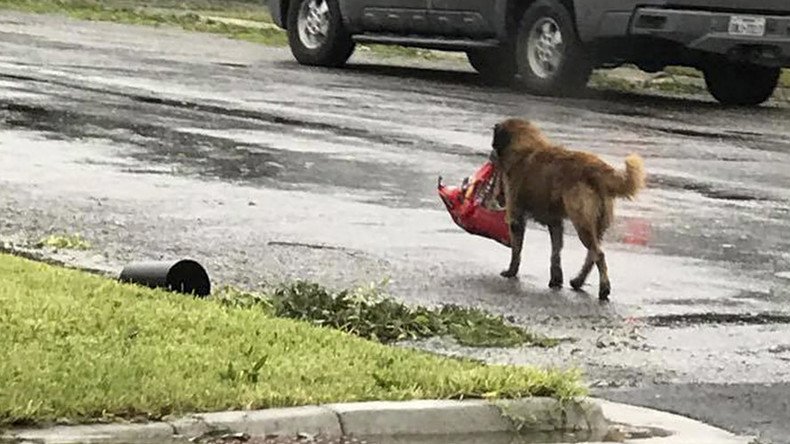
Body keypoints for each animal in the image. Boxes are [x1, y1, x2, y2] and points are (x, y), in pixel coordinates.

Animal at [492, 116, 648, 300]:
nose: (491, 156)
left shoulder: (516, 216)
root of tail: (596, 168)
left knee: (599, 254)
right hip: (596, 225)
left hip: (582, 223)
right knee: (592, 255)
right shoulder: (555, 222)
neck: (525, 146)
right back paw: (578, 281)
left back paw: (603, 289)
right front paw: (556, 279)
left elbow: (517, 250)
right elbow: (556, 252)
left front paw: (511, 272)